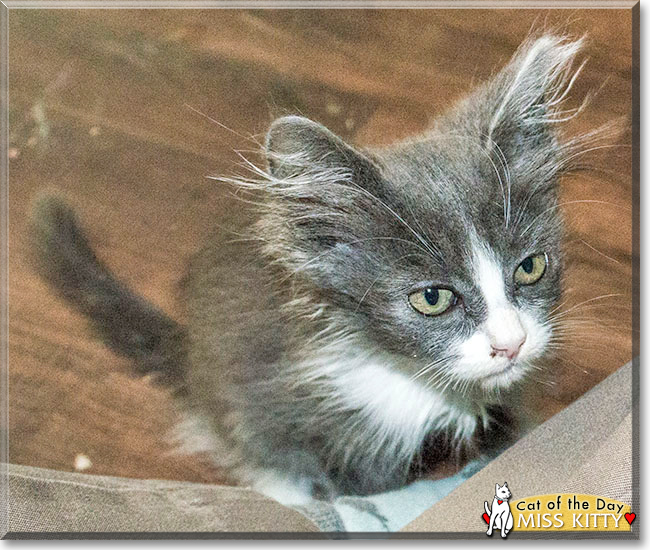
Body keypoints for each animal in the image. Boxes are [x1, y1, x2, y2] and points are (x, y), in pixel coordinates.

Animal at [30, 35, 596, 508]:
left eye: (531, 266)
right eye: (432, 298)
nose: (511, 344)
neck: (408, 381)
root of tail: (191, 351)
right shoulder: (277, 398)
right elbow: (310, 471)